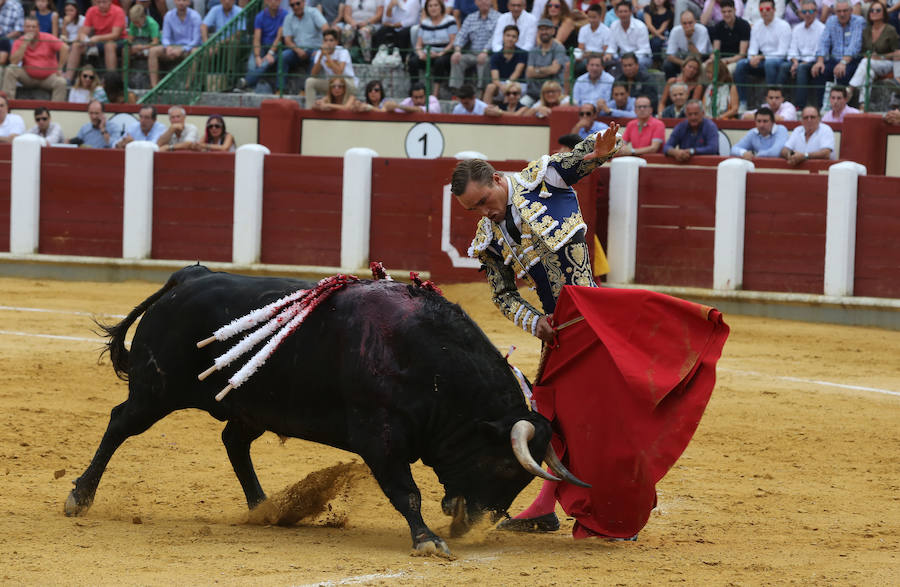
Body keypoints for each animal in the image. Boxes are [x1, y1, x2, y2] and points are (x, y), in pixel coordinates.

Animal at [68, 266, 576, 556]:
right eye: (504, 467)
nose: (472, 527)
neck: (430, 360)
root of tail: (185, 280)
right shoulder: (380, 437)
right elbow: (406, 491)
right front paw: (428, 541)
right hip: (155, 392)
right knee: (119, 424)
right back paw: (80, 497)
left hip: (251, 406)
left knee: (233, 442)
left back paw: (266, 508)